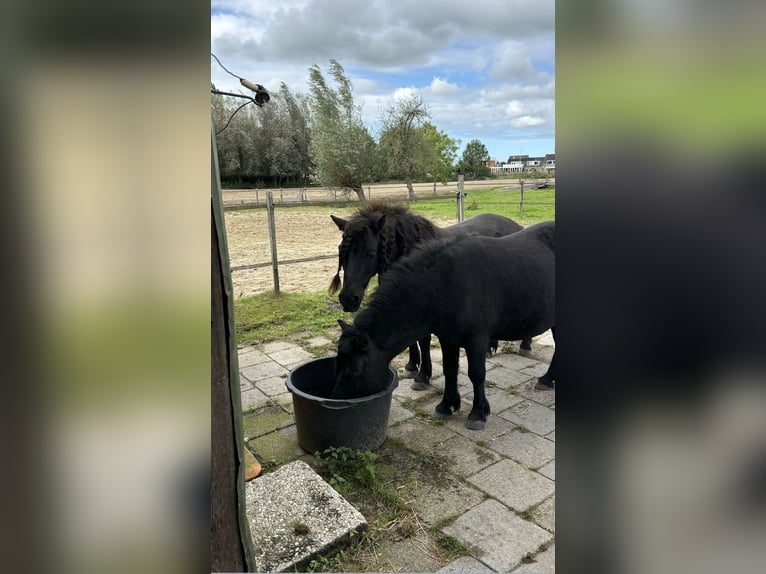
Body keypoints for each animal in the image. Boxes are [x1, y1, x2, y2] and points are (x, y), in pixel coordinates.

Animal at [330, 201, 528, 388]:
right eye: (342, 253)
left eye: (370, 253)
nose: (348, 299)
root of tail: (516, 225)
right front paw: (412, 366)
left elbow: (423, 340)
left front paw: (423, 375)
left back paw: (525, 346)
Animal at [332, 220, 556, 432]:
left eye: (354, 372)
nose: (338, 400)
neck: (445, 283)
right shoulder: (448, 338)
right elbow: (450, 369)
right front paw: (446, 405)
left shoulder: (476, 339)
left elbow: (476, 374)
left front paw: (478, 413)